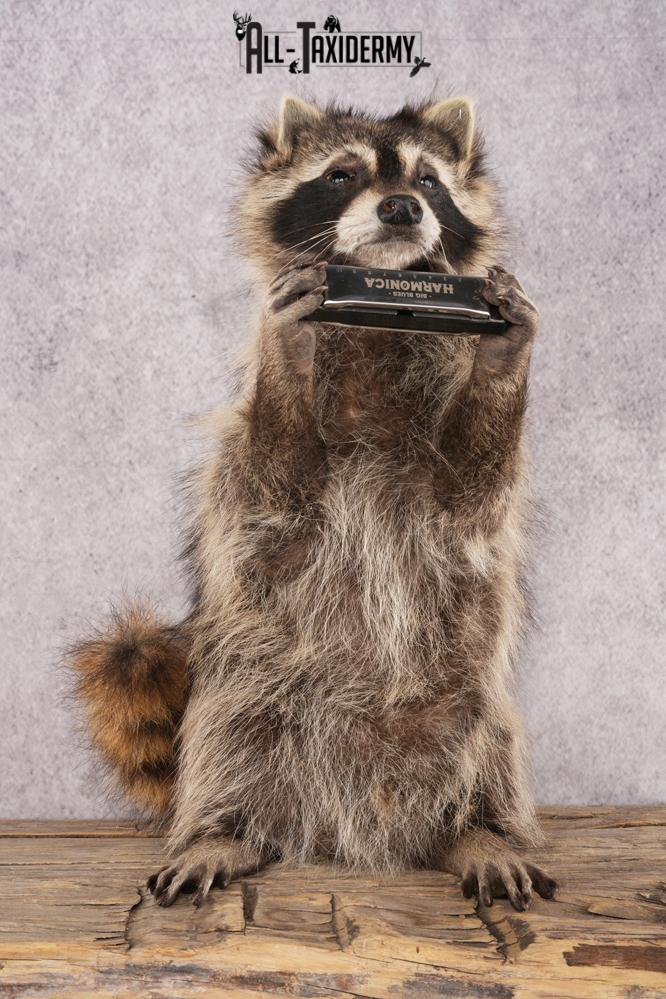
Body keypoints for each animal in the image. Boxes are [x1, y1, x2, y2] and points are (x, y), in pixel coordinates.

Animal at [70, 95, 558, 911]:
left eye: (429, 180)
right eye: (340, 176)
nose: (401, 206)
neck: (379, 323)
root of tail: (356, 824)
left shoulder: (462, 483)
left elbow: (473, 490)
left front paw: (504, 348)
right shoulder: (248, 466)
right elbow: (278, 472)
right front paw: (288, 349)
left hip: (465, 701)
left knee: (488, 743)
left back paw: (480, 830)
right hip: (252, 688)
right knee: (226, 739)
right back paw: (221, 830)